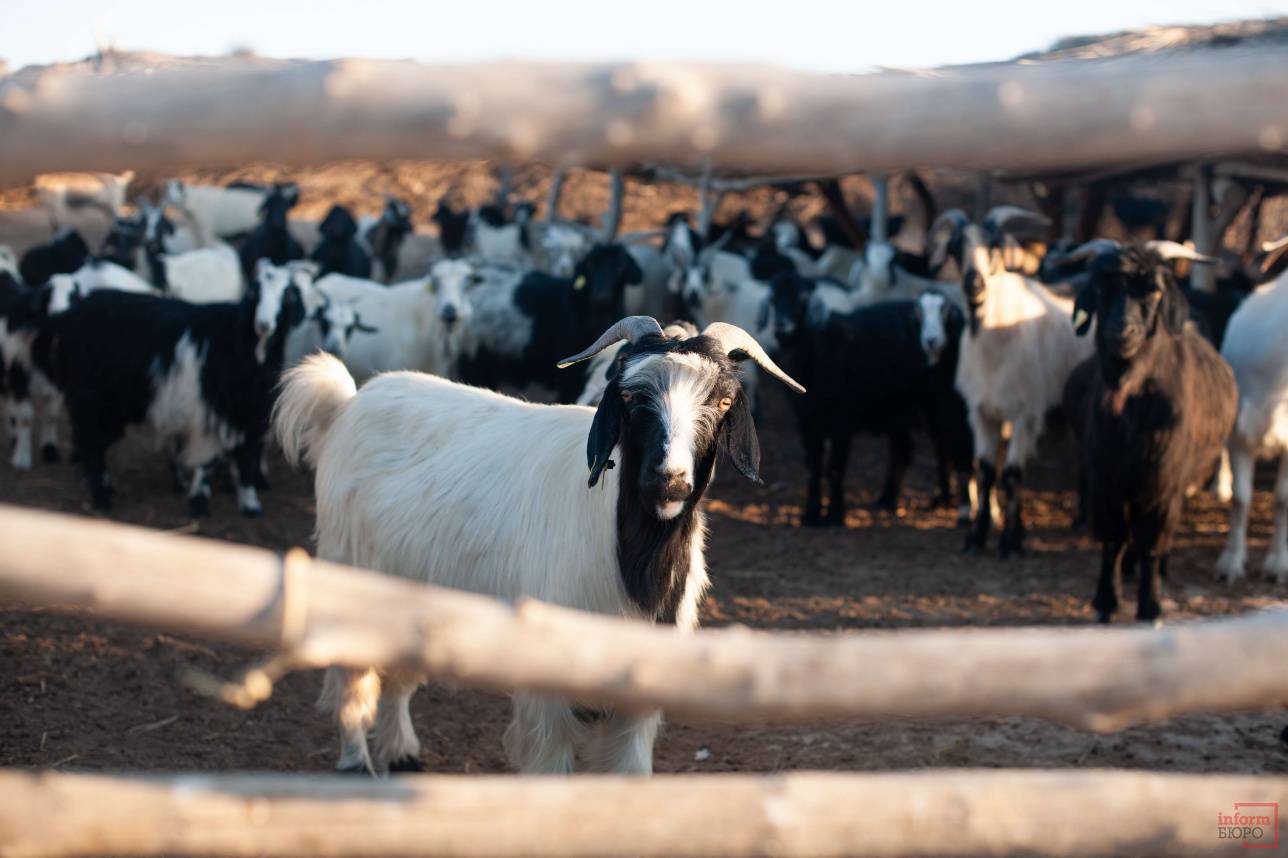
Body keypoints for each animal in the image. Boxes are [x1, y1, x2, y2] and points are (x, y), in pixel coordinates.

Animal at [276, 315, 803, 772]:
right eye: (631, 397)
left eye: (723, 403)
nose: (668, 481)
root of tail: (345, 405)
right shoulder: (548, 697)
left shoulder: (637, 701)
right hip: (347, 567)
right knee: (350, 681)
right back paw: (356, 762)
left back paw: (401, 752)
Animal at [1056, 240, 1236, 620]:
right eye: (1102, 288)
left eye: (1153, 290)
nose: (1121, 332)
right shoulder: (1105, 479)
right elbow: (1113, 538)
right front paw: (1106, 601)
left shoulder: (1163, 481)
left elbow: (1153, 542)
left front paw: (1150, 606)